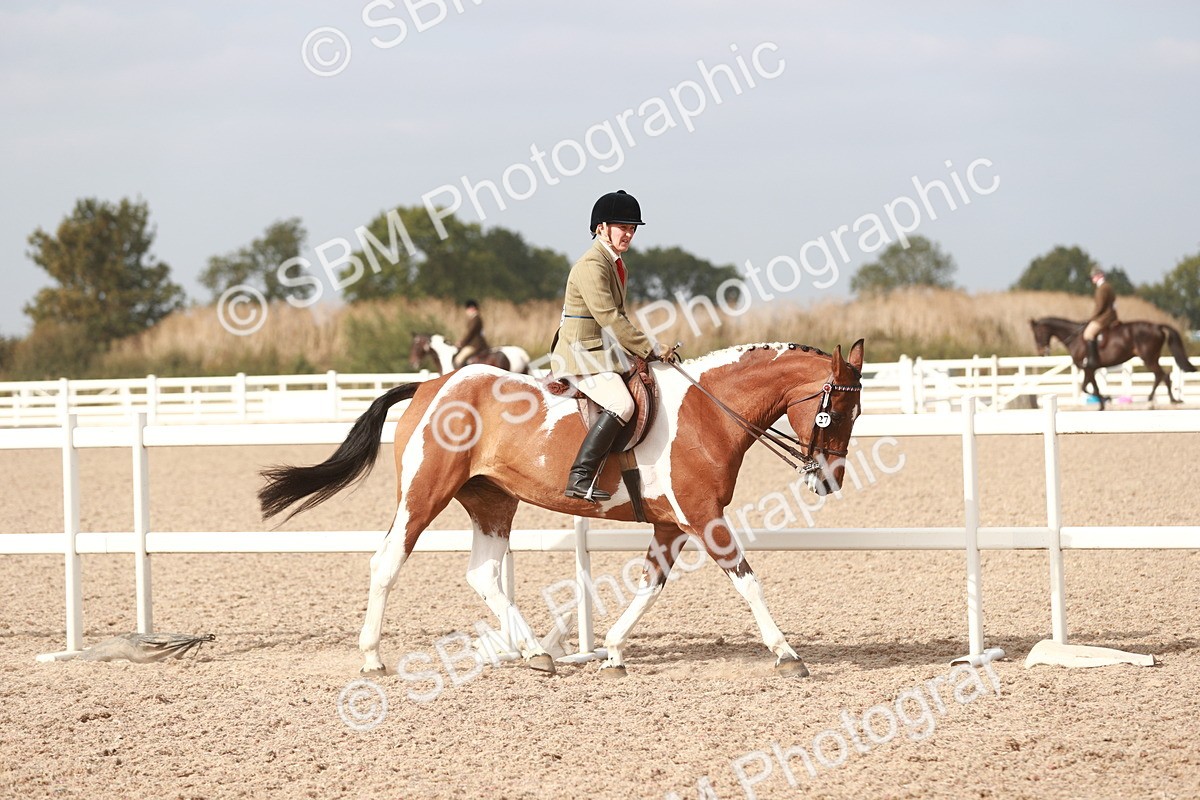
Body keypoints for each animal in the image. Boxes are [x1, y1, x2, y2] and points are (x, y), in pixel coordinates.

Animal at [259, 339, 866, 678]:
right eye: (835, 411)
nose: (829, 480)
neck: (707, 412)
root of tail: (432, 385)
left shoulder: (672, 524)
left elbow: (651, 584)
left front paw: (615, 651)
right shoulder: (703, 517)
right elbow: (747, 579)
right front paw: (787, 653)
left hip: (492, 501)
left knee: (482, 574)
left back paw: (535, 654)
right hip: (423, 494)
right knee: (387, 562)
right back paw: (372, 658)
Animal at [1030, 316, 1196, 409]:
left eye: (1037, 333)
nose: (1041, 352)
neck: (1075, 338)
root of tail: (1157, 326)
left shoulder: (1088, 368)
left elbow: (1089, 388)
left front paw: (1105, 400)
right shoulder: (1090, 369)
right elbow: (1090, 388)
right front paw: (1104, 402)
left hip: (1148, 358)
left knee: (1162, 375)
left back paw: (1166, 400)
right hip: (1152, 358)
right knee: (1160, 376)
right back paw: (1158, 399)